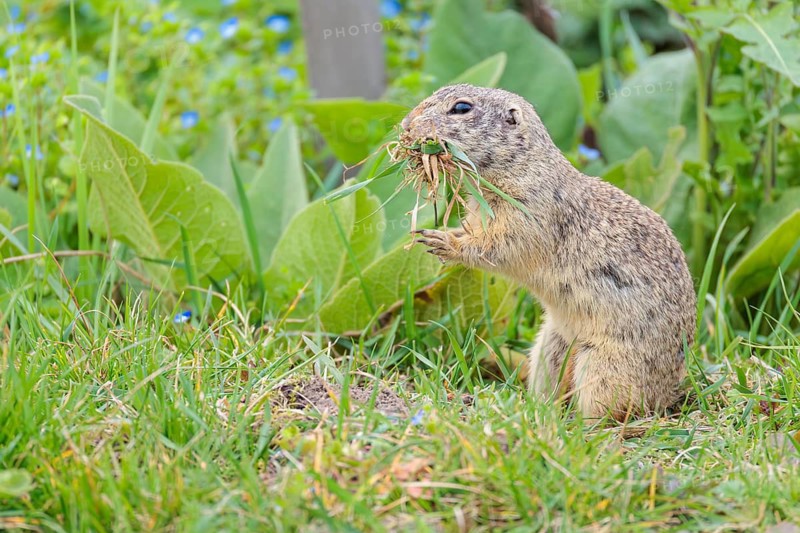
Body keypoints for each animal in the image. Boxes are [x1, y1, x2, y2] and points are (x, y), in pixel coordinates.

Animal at [402, 84, 696, 421]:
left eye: (461, 108)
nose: (406, 126)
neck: (523, 166)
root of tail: (668, 392)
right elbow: (472, 232)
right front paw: (437, 235)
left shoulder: (529, 214)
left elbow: (497, 247)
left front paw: (443, 243)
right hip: (549, 346)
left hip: (606, 365)